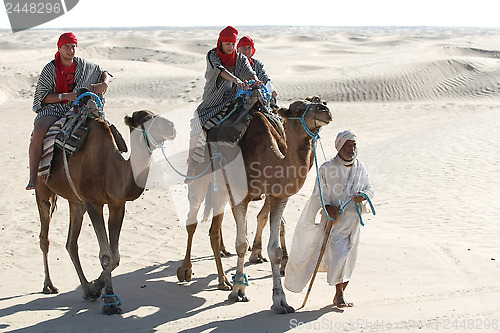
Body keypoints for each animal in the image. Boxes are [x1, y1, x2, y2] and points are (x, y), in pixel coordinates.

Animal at [35, 109, 176, 314]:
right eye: (148, 119)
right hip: (43, 188)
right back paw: (48, 285)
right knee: (44, 235)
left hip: (76, 201)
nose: (172, 126)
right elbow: (106, 255)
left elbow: (115, 256)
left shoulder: (117, 204)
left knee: (71, 243)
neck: (111, 169)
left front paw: (96, 287)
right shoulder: (93, 203)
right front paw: (110, 301)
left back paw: (86, 289)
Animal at [179, 94, 332, 312]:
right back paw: (186, 271)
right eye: (298, 109)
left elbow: (274, 248)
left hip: (221, 192)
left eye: (322, 102)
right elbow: (241, 244)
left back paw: (223, 280)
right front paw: (239, 292)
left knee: (213, 230)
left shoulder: (278, 196)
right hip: (199, 178)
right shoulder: (240, 195)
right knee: (191, 222)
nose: (324, 110)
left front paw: (280, 301)